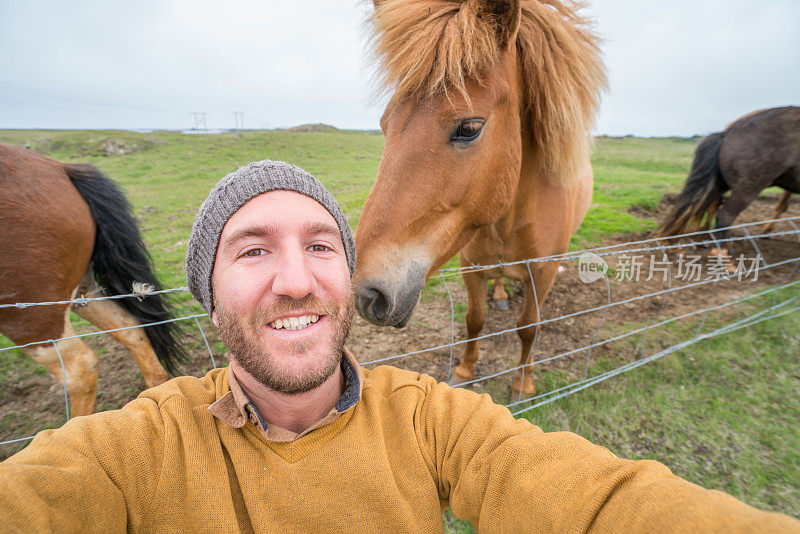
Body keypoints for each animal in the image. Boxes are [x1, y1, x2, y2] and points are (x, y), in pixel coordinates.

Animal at [354, 0, 604, 394]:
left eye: (469, 128)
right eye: (384, 124)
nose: (366, 294)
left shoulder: (542, 272)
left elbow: (529, 327)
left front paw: (522, 382)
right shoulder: (470, 266)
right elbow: (474, 319)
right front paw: (465, 370)